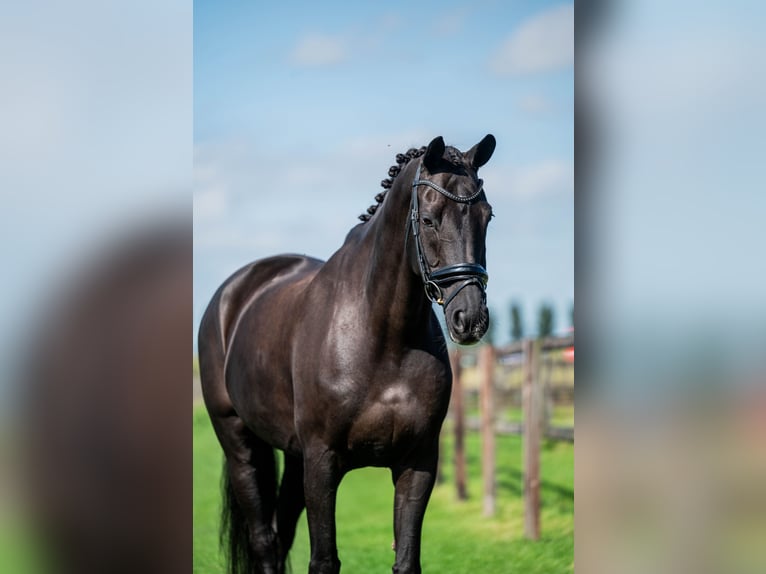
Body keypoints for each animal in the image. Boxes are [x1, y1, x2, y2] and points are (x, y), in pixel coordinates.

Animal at [198, 134, 496, 574]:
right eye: (428, 219)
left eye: (486, 217)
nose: (470, 318)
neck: (383, 338)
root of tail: (231, 294)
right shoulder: (322, 463)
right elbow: (324, 560)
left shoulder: (418, 461)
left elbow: (406, 559)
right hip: (238, 441)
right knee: (264, 538)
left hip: (294, 457)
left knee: (280, 532)